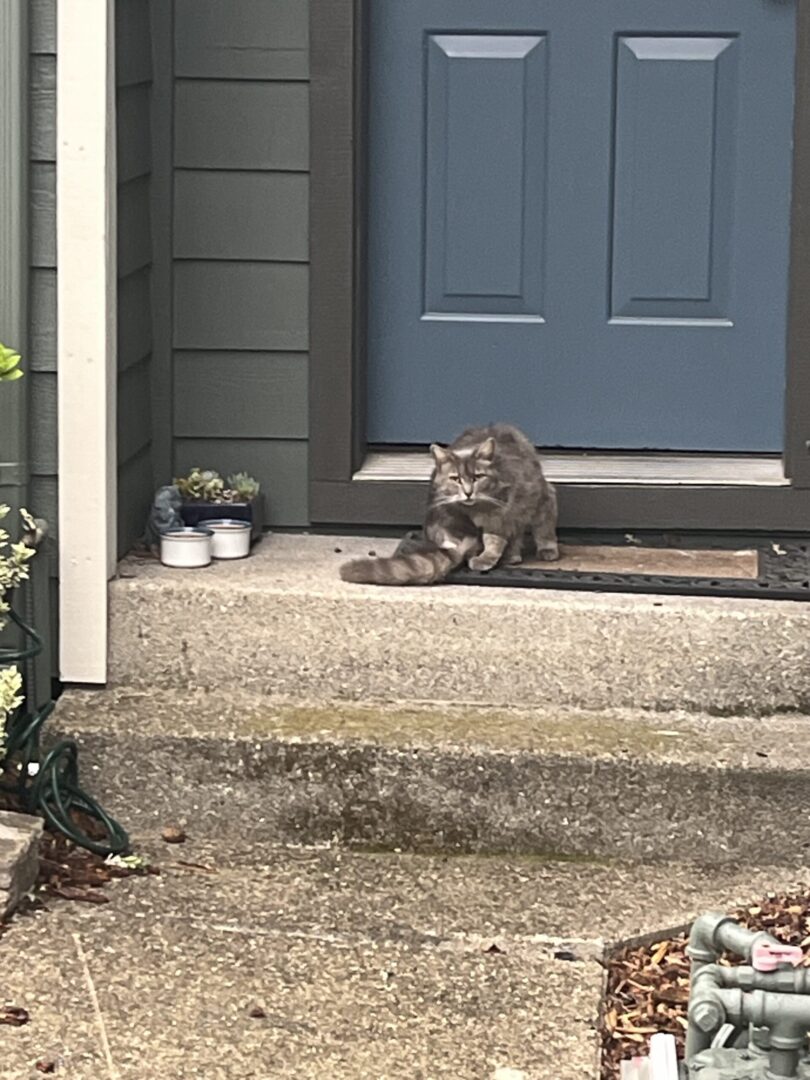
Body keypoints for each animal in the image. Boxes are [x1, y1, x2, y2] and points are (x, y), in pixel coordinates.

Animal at [341, 425, 557, 587]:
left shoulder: (538, 500)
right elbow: (496, 539)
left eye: (477, 477)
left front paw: (547, 549)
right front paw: (491, 556)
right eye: (456, 479)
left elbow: (543, 528)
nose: (468, 492)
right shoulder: (493, 520)